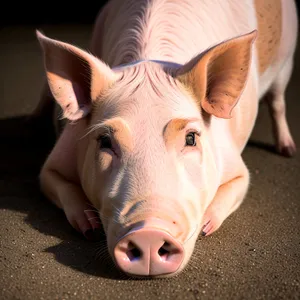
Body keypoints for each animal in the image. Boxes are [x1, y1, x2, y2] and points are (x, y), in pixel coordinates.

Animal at [33, 0, 298, 276]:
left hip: (286, 61)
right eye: (105, 141)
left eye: (191, 138)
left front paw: (205, 227)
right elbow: (51, 180)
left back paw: (287, 150)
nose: (148, 232)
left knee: (278, 101)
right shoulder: (59, 157)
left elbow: (238, 185)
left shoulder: (236, 166)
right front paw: (90, 228)